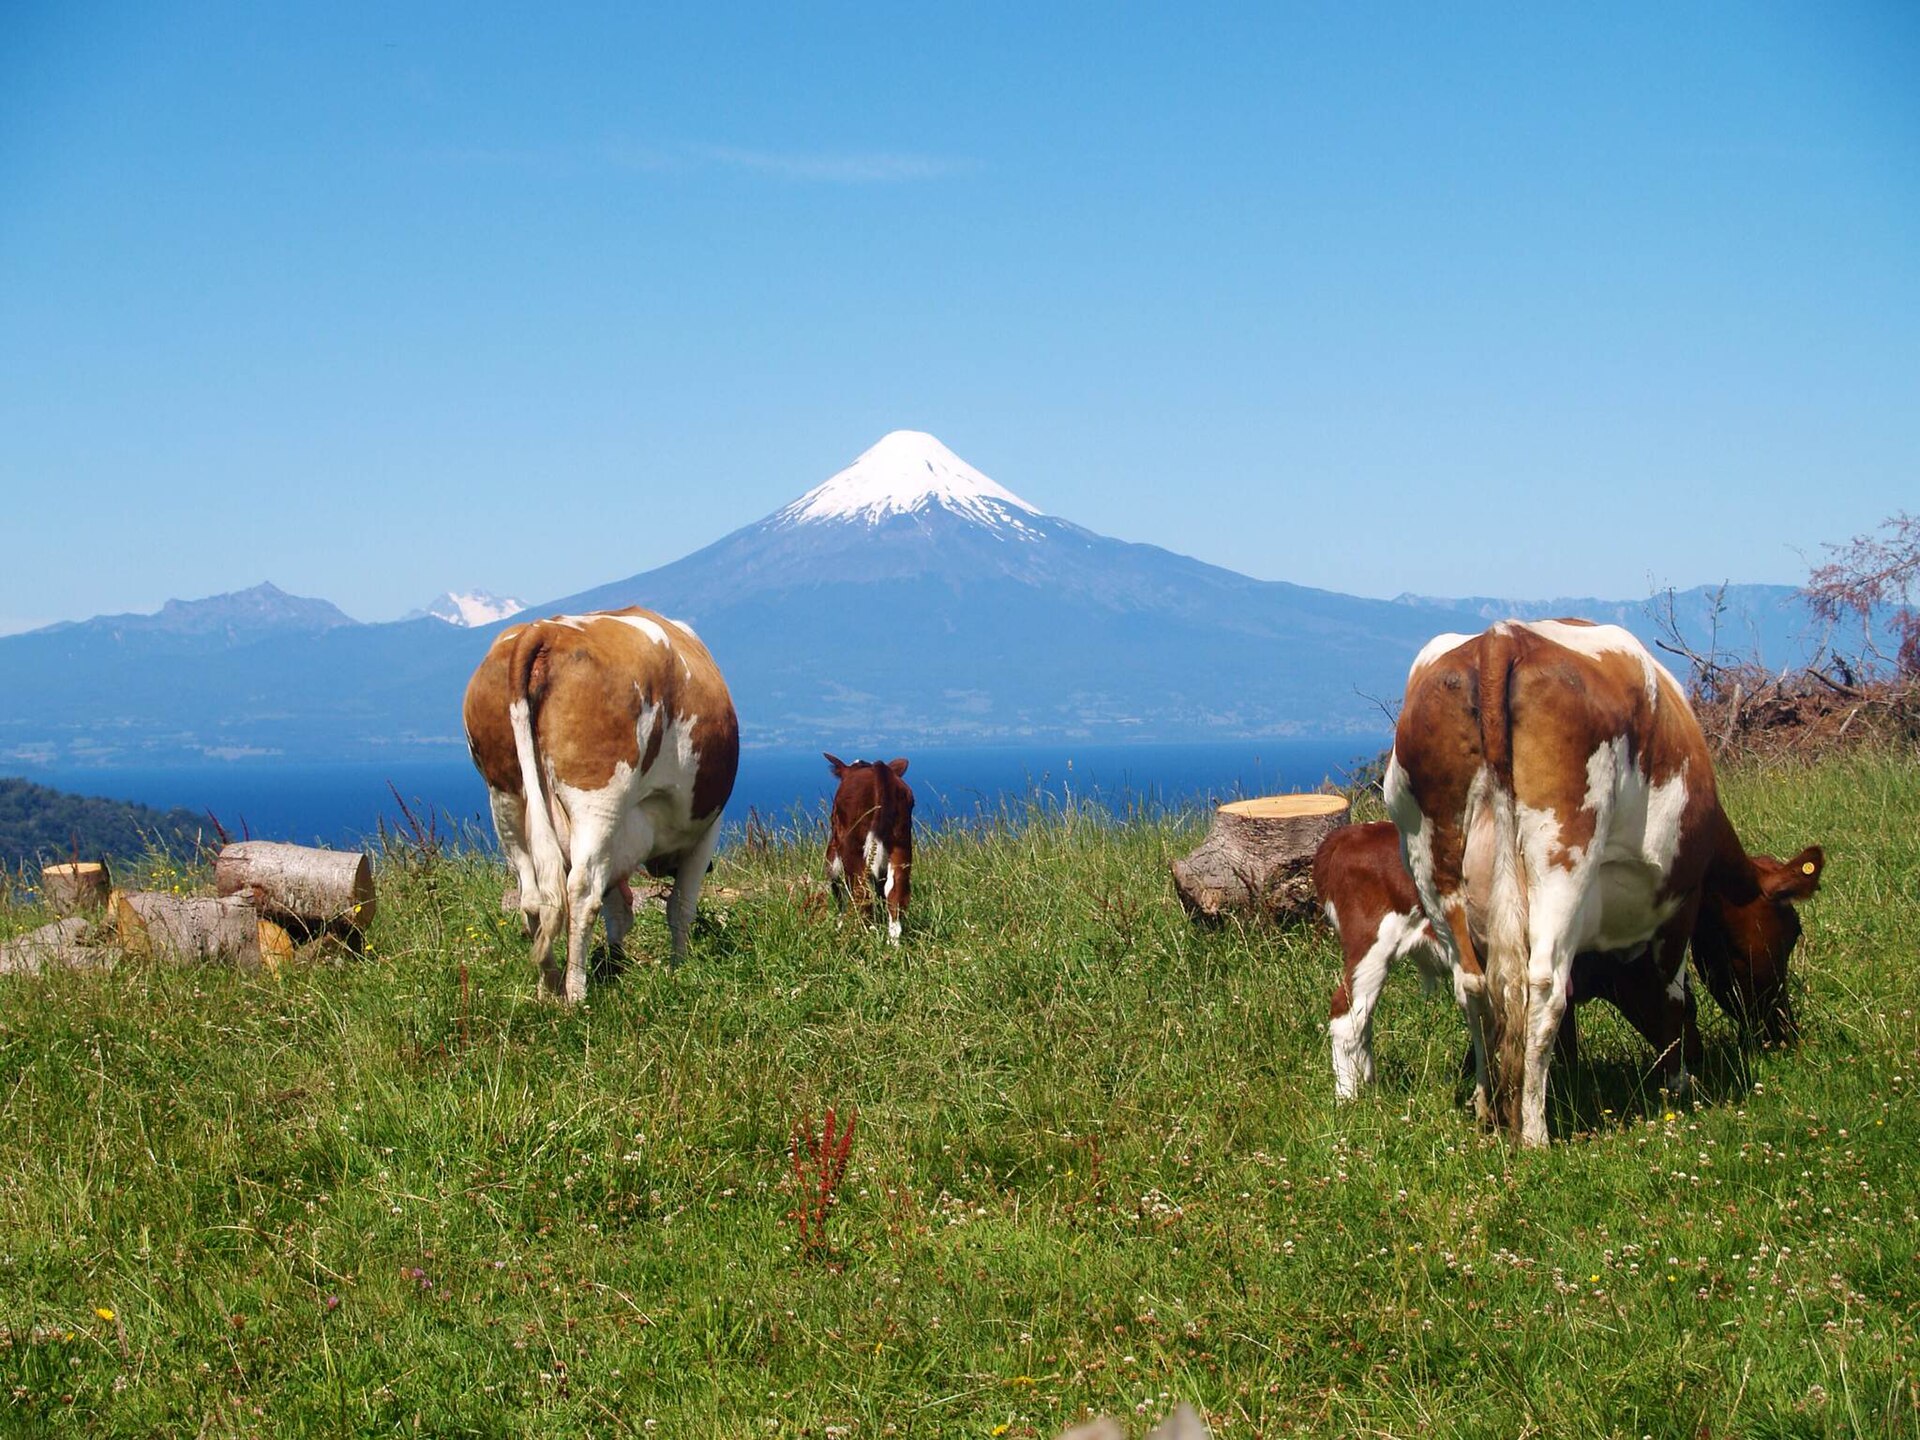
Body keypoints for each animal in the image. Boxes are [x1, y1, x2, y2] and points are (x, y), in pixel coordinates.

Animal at [462, 607, 739, 1002]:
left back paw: (548, 986)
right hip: (598, 798)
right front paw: (679, 969)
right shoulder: (704, 832)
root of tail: (543, 632)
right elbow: (680, 907)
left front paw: (615, 963)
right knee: (582, 890)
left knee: (534, 895)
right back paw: (576, 995)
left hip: (505, 797)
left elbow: (619, 909)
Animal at [823, 754, 914, 944]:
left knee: (861, 892)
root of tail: (879, 769)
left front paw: (839, 924)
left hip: (853, 848)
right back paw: (893, 942)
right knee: (896, 892)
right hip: (902, 844)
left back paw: (864, 935)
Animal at [1383, 619, 1823, 1145]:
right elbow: (1675, 995)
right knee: (1544, 984)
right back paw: (1534, 1134)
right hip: (1563, 856)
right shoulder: (1681, 899)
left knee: (1473, 983)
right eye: (1789, 934)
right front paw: (1678, 1083)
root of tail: (1502, 637)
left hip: (1429, 858)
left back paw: (1491, 1108)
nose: (1783, 1033)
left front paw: (1567, 1079)